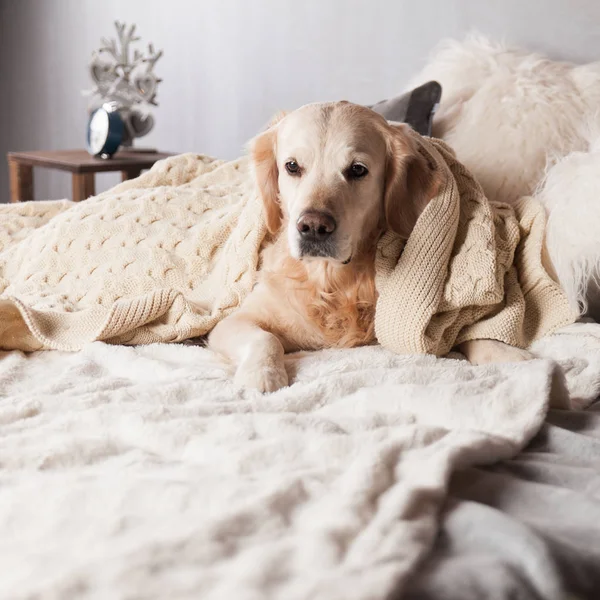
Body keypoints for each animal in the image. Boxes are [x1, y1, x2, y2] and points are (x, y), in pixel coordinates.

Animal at [206, 102, 528, 394]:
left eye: (357, 170)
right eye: (292, 166)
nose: (313, 227)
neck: (334, 282)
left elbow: (466, 330)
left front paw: (506, 354)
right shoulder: (234, 321)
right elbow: (265, 338)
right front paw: (262, 375)